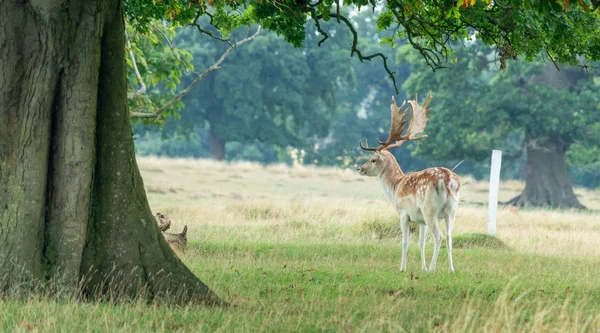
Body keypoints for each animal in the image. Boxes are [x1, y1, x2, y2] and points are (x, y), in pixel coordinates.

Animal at [356, 94, 460, 272]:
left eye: (373, 159)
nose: (360, 168)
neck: (395, 187)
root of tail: (448, 180)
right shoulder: (420, 220)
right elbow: (421, 243)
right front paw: (422, 268)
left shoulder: (404, 214)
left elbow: (404, 242)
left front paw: (403, 268)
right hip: (451, 211)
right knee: (449, 237)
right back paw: (451, 269)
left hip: (430, 210)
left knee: (438, 236)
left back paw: (432, 269)